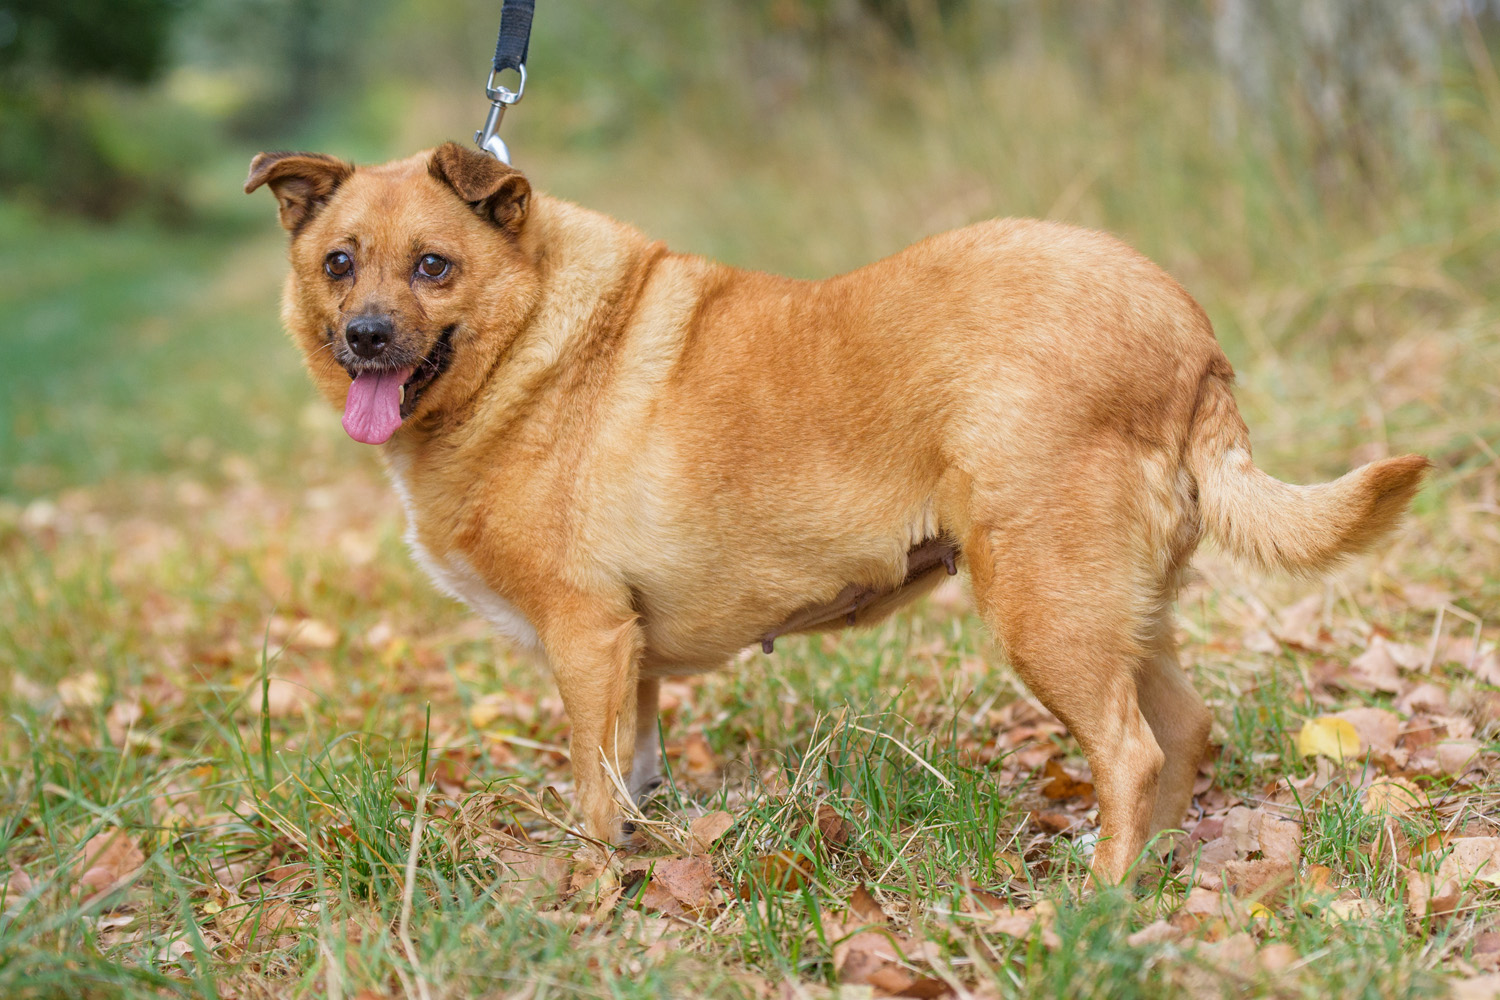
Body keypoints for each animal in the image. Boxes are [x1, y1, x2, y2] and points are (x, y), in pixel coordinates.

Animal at [246, 141, 1428, 883]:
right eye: (338, 262)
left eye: (433, 266)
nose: (363, 337)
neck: (531, 338)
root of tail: (1188, 335)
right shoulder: (627, 653)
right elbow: (632, 779)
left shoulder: (585, 638)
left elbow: (591, 794)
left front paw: (586, 898)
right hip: (1119, 610)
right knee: (1184, 729)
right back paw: (1150, 877)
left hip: (1043, 606)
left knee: (1131, 752)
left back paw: (1091, 898)